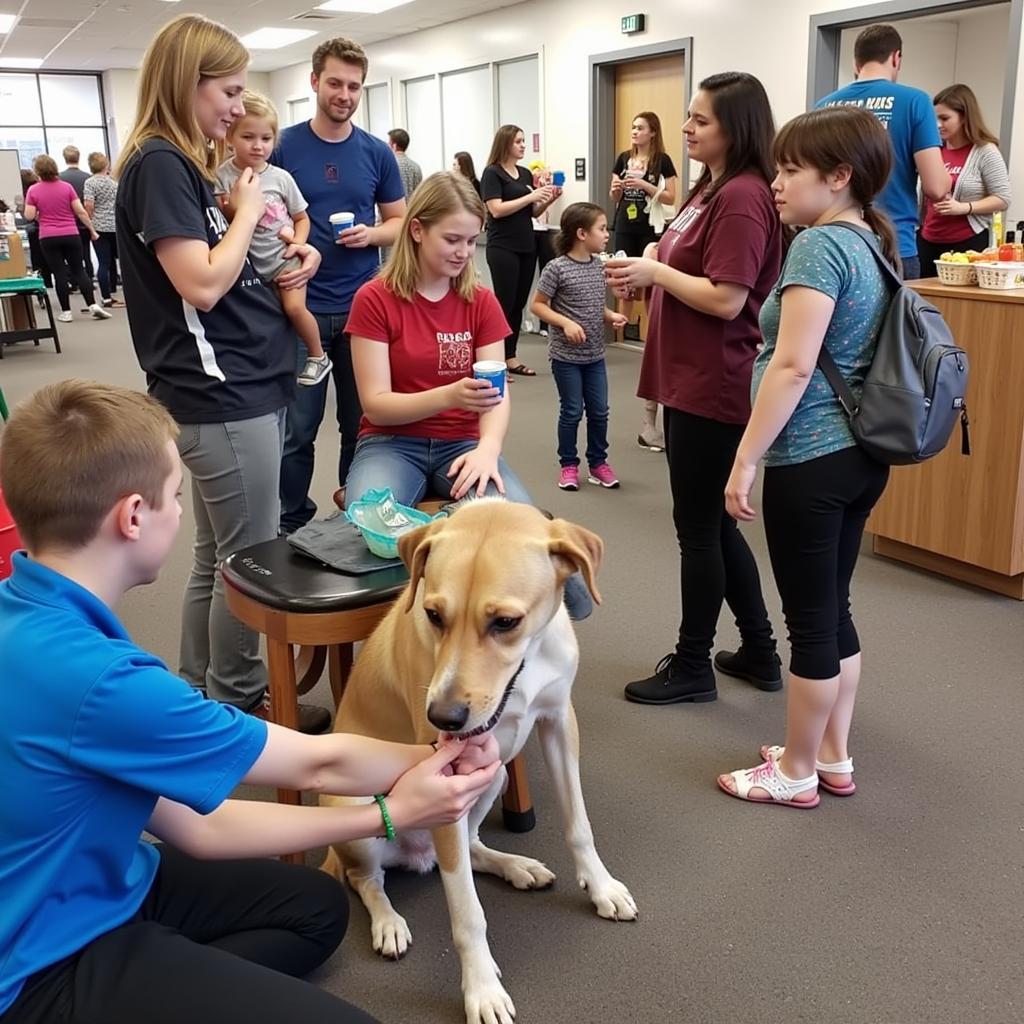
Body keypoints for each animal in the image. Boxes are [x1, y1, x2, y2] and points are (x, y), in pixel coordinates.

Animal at [323, 501, 634, 1024]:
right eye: (433, 614)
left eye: (506, 622)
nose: (443, 717)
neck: (525, 668)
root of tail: (419, 854)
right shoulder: (445, 774)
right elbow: (468, 913)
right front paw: (482, 989)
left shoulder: (558, 722)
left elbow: (579, 824)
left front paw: (601, 886)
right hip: (355, 808)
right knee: (367, 878)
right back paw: (388, 922)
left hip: (495, 776)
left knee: (469, 847)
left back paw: (515, 865)